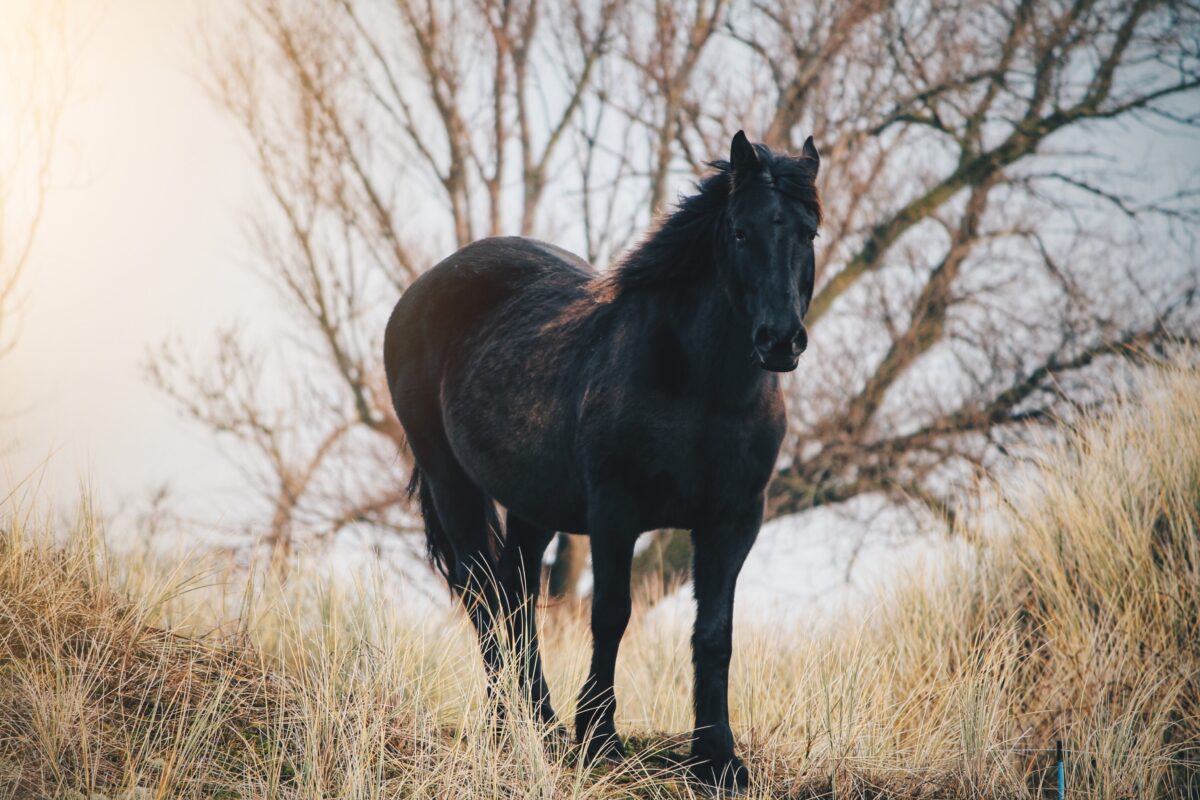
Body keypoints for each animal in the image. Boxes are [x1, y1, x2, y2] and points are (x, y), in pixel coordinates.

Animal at [384, 131, 820, 791]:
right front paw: (599, 737)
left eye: (809, 232)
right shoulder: (616, 511)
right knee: (484, 596)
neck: (702, 389)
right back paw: (508, 729)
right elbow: (612, 614)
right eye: (741, 232)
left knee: (517, 594)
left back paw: (542, 725)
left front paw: (718, 759)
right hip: (450, 480)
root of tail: (421, 290)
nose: (780, 340)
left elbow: (714, 634)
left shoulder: (734, 521)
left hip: (532, 504)